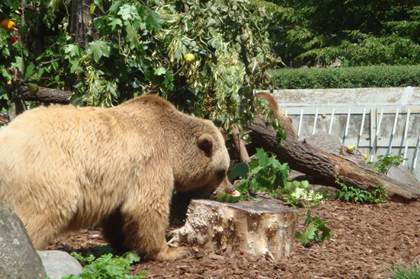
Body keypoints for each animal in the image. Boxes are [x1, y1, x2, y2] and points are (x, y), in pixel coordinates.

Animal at [0, 94, 233, 262]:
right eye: (222, 171)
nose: (229, 190)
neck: (172, 147)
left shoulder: (121, 181)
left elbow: (119, 215)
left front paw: (124, 245)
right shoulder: (150, 162)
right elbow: (147, 207)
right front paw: (171, 250)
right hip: (47, 174)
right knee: (40, 214)